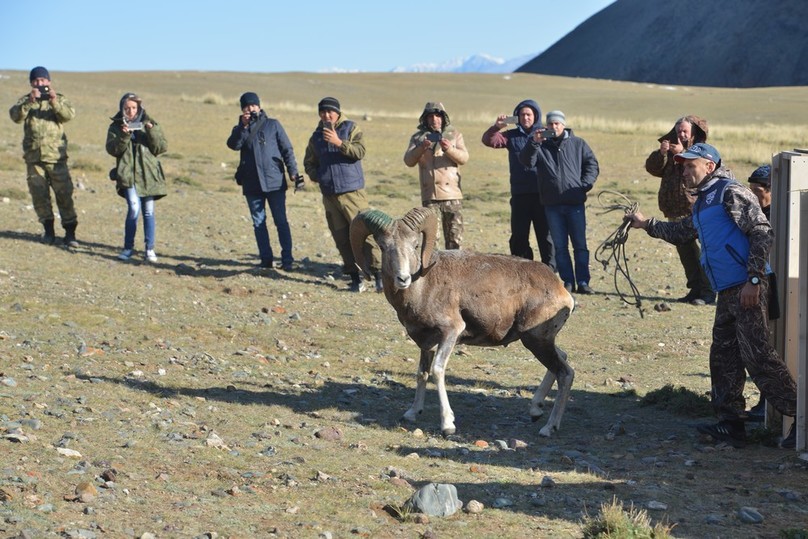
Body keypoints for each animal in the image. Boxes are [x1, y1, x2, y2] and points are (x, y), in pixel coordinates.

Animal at [352, 207, 576, 438]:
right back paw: (535, 410)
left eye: (415, 244)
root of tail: (562, 290)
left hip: (535, 341)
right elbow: (422, 373)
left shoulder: (450, 333)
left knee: (565, 373)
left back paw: (548, 427)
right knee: (563, 358)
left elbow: (437, 371)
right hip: (540, 341)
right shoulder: (426, 344)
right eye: (383, 246)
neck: (423, 285)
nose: (403, 279)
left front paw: (448, 425)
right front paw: (412, 413)